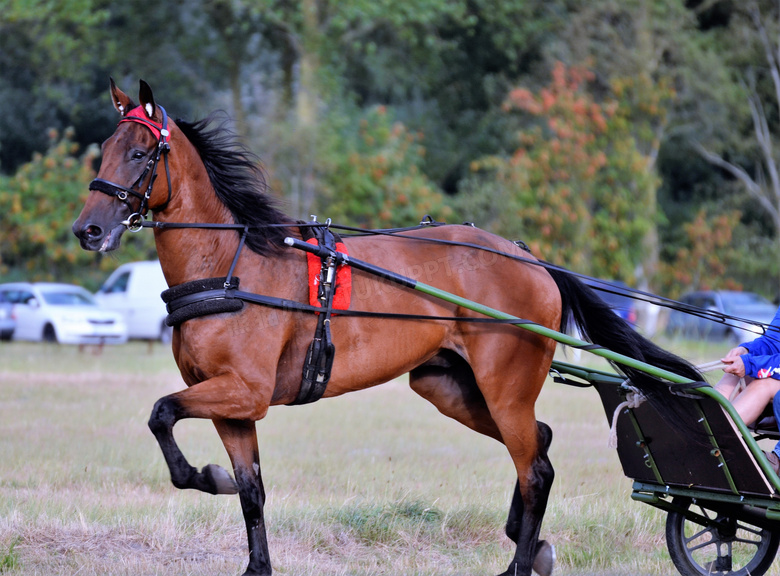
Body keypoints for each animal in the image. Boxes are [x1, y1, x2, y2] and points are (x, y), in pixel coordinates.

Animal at [74, 81, 700, 576]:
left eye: (139, 152)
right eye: (103, 152)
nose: (88, 230)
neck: (231, 267)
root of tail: (531, 259)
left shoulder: (242, 391)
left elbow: (161, 412)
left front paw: (204, 475)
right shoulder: (233, 407)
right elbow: (249, 490)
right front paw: (238, 523)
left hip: (505, 388)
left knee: (536, 469)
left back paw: (519, 565)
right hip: (449, 386)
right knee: (538, 443)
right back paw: (527, 543)